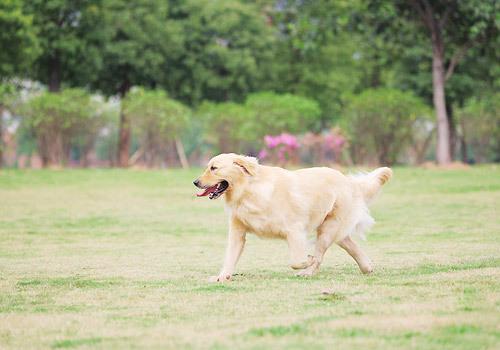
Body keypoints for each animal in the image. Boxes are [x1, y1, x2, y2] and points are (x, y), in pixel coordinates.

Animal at [193, 152, 392, 282]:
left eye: (214, 168)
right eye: (208, 167)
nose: (195, 182)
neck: (249, 191)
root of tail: (349, 181)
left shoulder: (294, 230)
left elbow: (296, 261)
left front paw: (307, 261)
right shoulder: (237, 233)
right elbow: (230, 257)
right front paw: (222, 276)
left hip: (327, 230)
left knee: (320, 255)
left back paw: (308, 272)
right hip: (332, 229)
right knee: (351, 245)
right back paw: (367, 267)